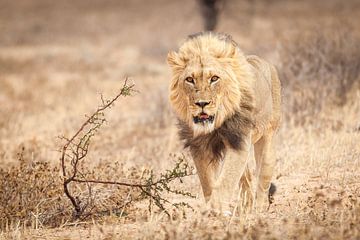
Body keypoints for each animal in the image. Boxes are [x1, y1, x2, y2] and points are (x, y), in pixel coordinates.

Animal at [166, 32, 282, 214]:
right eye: (190, 79)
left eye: (214, 78)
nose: (202, 103)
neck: (217, 123)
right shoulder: (198, 145)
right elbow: (207, 180)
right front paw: (211, 208)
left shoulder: (239, 140)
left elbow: (227, 177)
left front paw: (217, 209)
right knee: (246, 176)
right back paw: (245, 206)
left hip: (269, 138)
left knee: (263, 176)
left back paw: (259, 208)